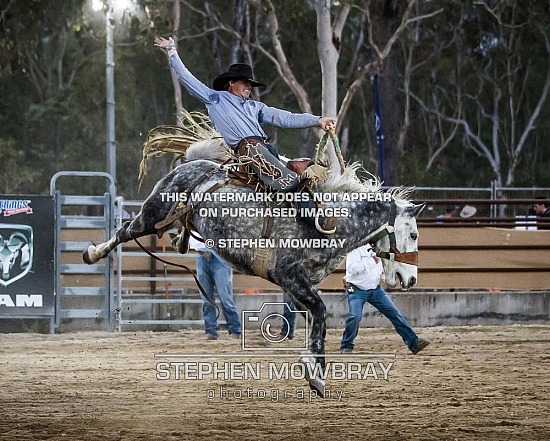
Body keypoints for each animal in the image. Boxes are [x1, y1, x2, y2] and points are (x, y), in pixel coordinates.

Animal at [83, 111, 426, 394]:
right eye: (413, 234)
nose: (410, 279)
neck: (329, 219)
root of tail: (193, 164)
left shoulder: (301, 284)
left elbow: (314, 317)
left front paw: (314, 367)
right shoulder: (288, 275)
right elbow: (320, 312)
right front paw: (316, 373)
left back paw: (177, 239)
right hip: (152, 213)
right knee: (125, 231)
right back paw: (93, 252)